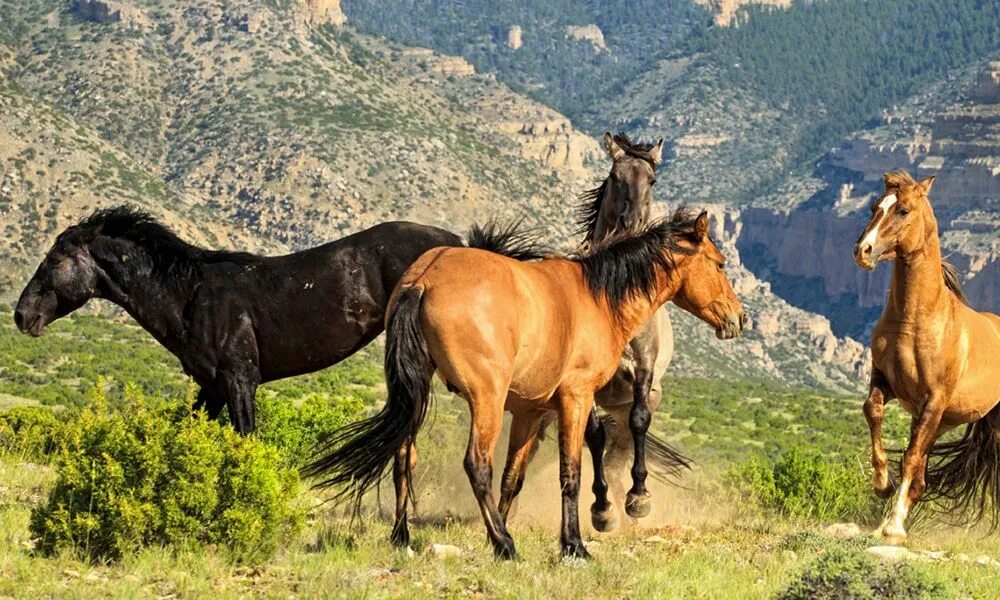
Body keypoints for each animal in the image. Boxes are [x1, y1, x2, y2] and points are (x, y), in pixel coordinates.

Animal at [11, 206, 460, 432]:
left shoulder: (239, 380)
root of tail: (454, 241)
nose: (21, 314)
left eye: (56, 260)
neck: (190, 296)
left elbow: (244, 438)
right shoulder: (210, 386)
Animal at [308, 210, 748, 556]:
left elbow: (513, 478)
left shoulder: (530, 412)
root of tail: (424, 280)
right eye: (720, 263)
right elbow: (571, 473)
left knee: (404, 456)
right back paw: (506, 546)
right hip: (485, 399)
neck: (598, 297)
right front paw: (574, 544)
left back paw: (404, 538)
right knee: (475, 464)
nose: (739, 318)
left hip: (416, 391)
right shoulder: (576, 398)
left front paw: (499, 532)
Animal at [852, 170, 1000, 544]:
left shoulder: (932, 401)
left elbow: (912, 456)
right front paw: (883, 484)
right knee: (920, 477)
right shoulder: (888, 383)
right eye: (875, 207)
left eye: (903, 210)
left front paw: (893, 526)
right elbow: (873, 412)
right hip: (945, 421)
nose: (863, 250)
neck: (917, 319)